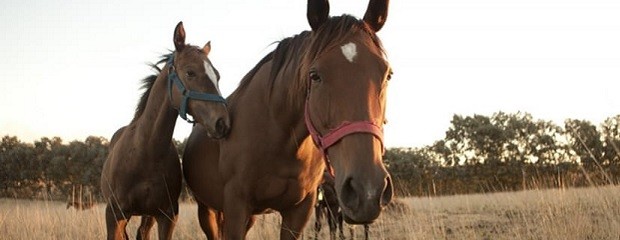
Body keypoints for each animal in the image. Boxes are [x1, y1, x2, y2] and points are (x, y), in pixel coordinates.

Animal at [101, 21, 230, 240]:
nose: (223, 122)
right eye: (190, 72)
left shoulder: (167, 216)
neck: (145, 152)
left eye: (218, 76)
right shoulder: (114, 215)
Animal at [183, 0, 392, 239]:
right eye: (314, 75)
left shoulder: (299, 211)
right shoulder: (235, 206)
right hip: (207, 209)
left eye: (387, 74)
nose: (367, 191)